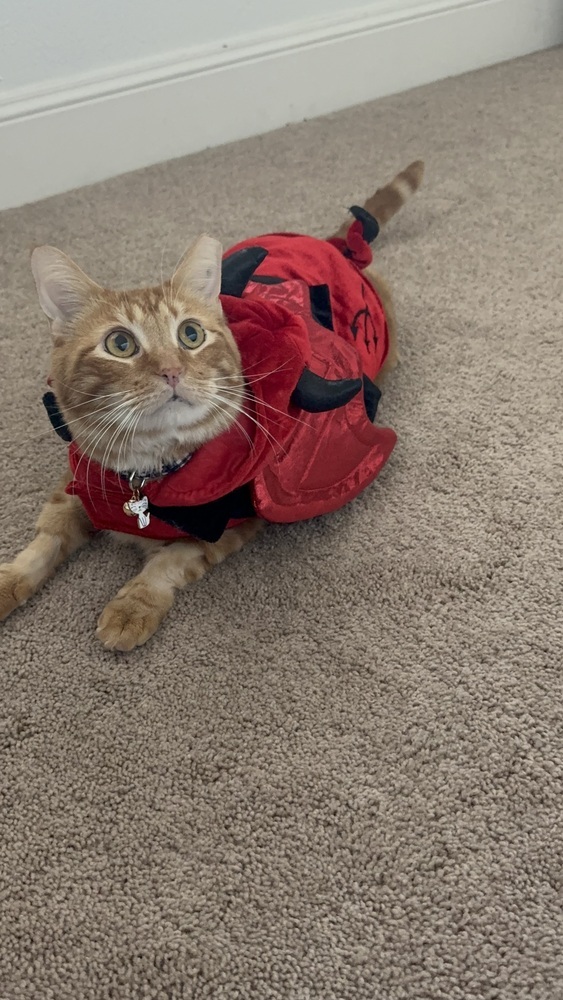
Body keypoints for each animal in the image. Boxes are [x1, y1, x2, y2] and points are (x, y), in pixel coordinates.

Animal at [0, 160, 424, 652]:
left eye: (190, 334)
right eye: (120, 344)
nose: (171, 371)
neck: (147, 475)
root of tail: (334, 244)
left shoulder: (231, 524)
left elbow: (167, 564)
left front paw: (132, 607)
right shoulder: (77, 484)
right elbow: (42, 543)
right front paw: (7, 581)